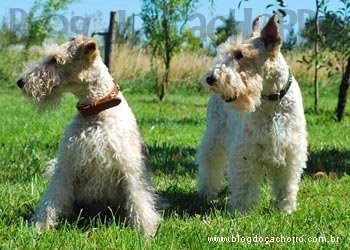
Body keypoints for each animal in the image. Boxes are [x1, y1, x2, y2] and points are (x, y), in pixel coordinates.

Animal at [17, 35, 161, 236]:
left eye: (54, 59)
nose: (20, 82)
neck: (96, 108)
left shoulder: (129, 166)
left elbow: (138, 198)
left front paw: (146, 231)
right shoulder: (66, 166)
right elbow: (52, 199)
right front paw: (39, 227)